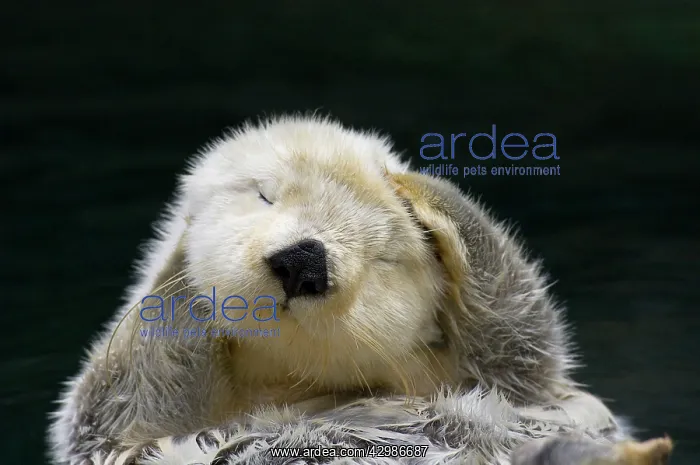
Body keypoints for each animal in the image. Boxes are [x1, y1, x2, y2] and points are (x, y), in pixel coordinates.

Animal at [47, 115, 671, 465]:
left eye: (384, 256)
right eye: (266, 195)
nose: (303, 260)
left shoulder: (533, 391)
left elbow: (523, 342)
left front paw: (413, 184)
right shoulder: (117, 439)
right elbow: (122, 393)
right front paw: (179, 264)